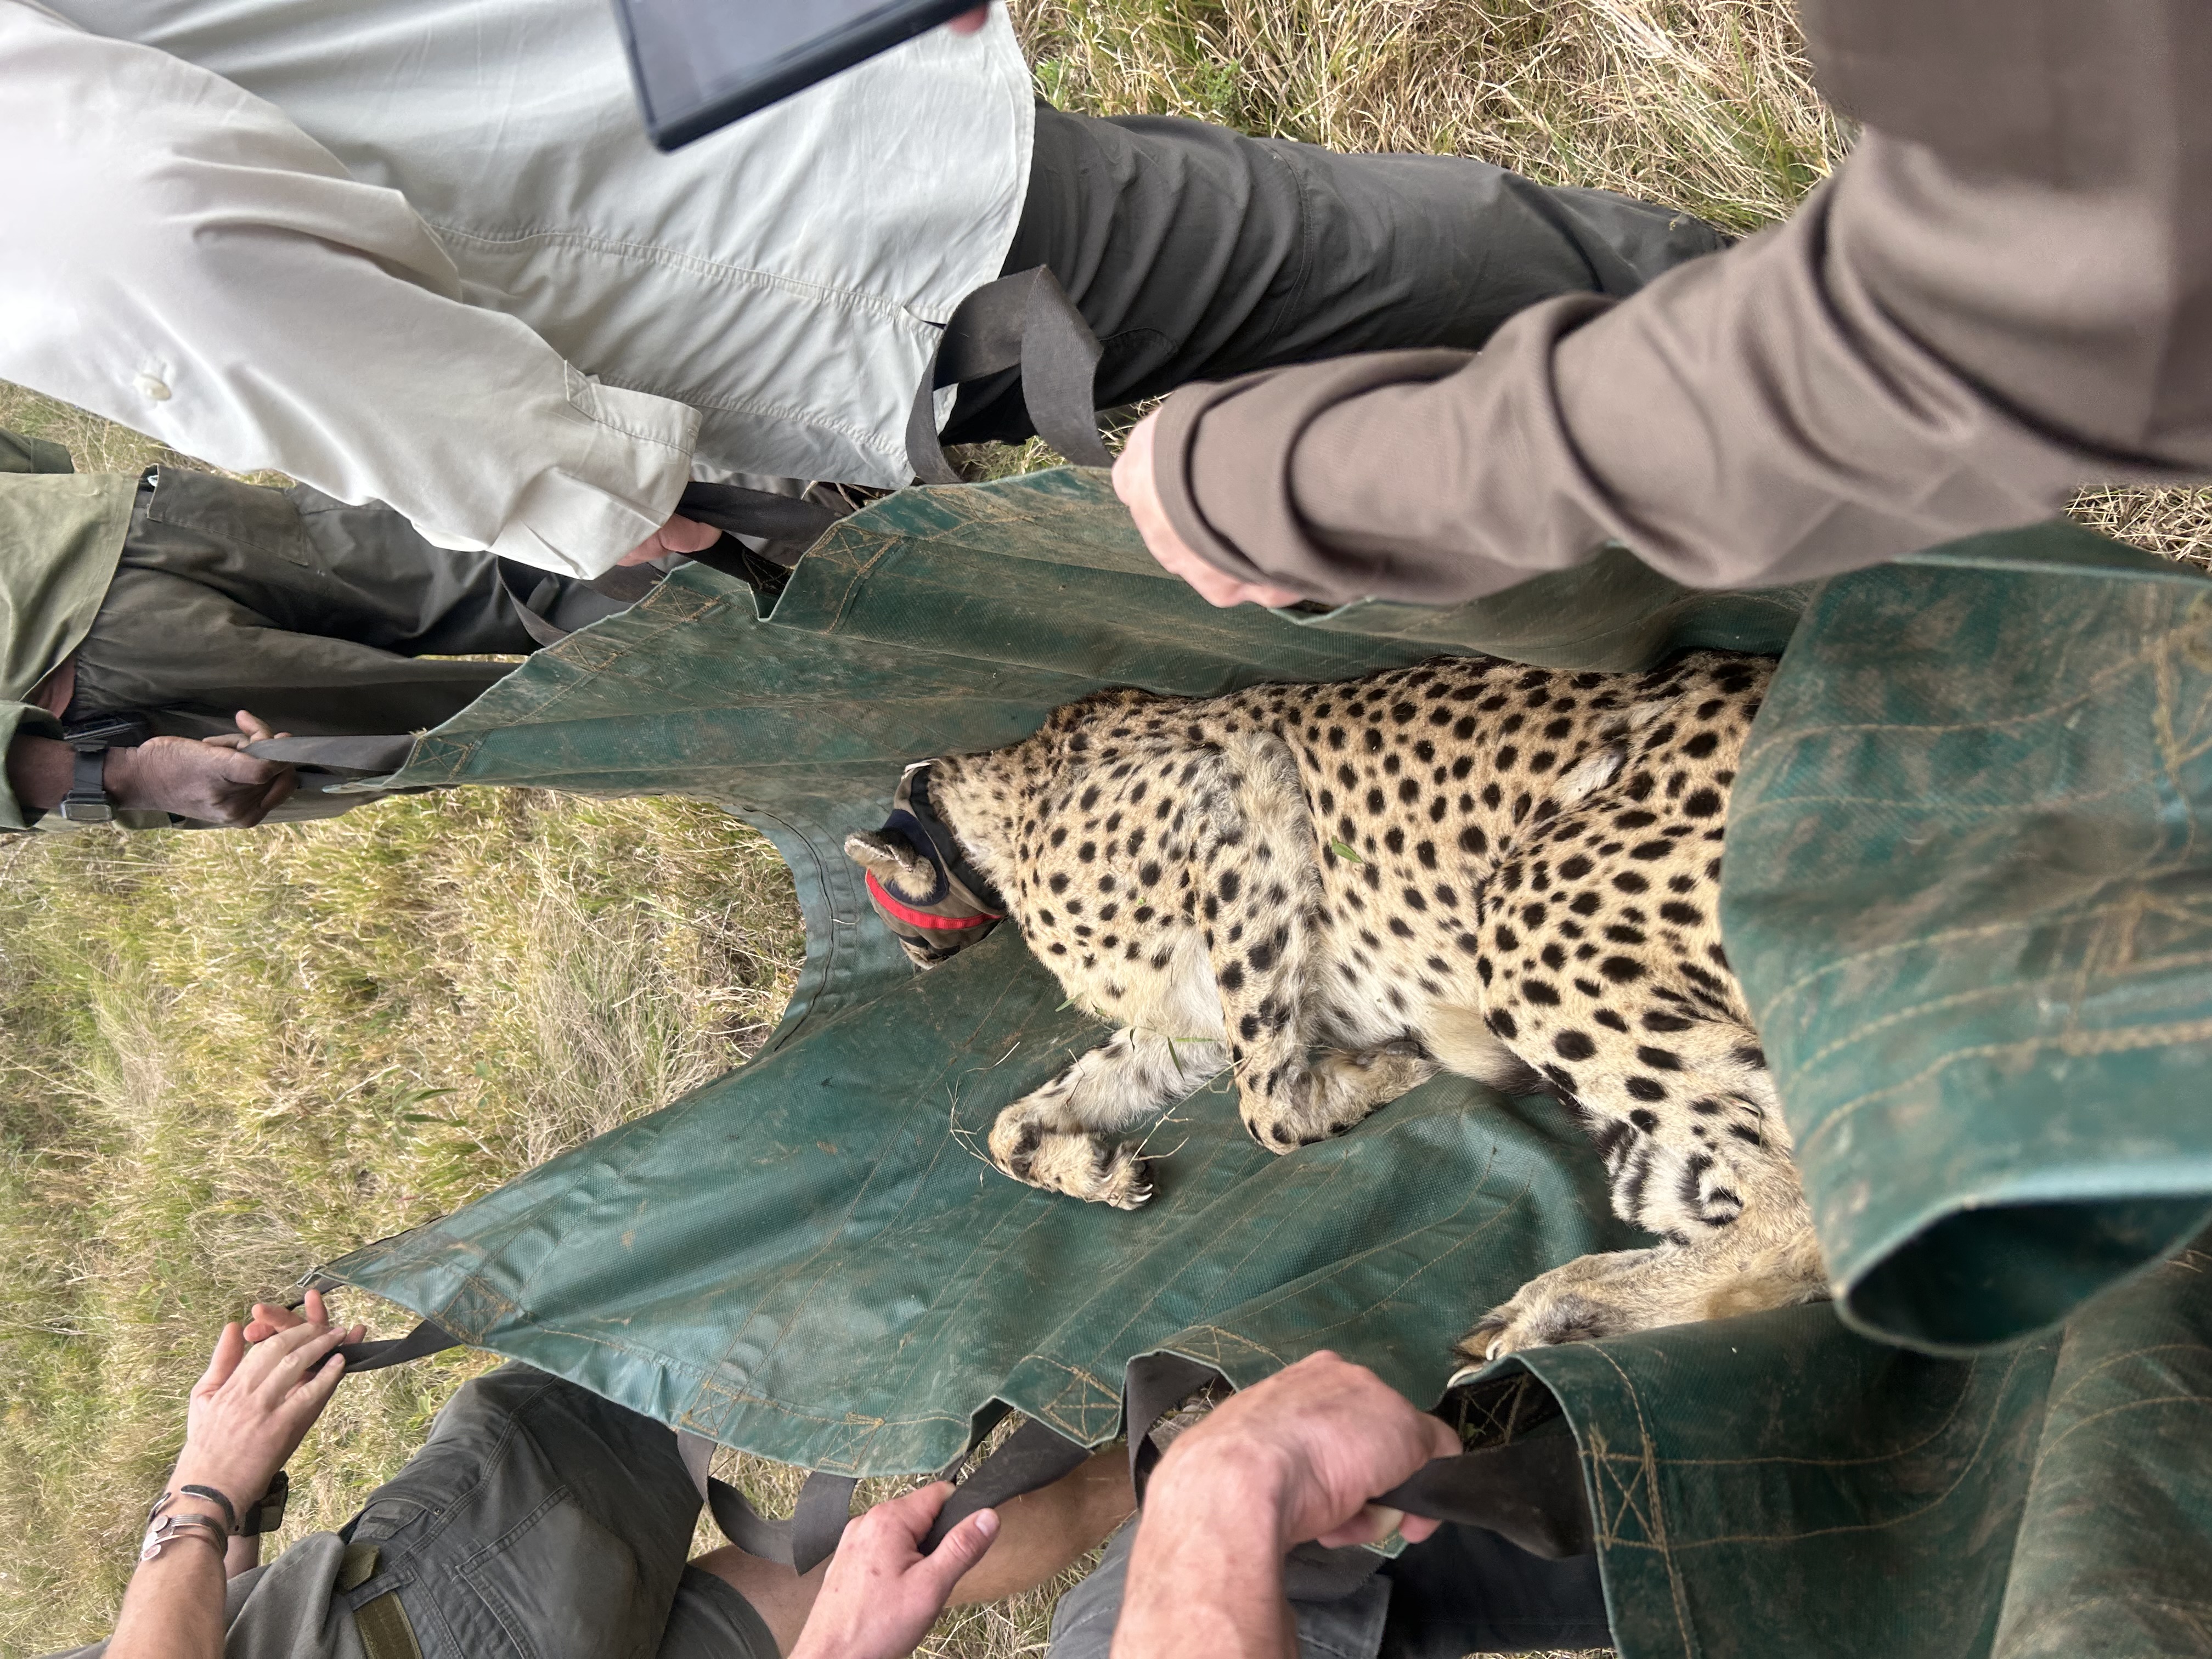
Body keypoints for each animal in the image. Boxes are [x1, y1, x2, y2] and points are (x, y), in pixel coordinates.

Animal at [845, 651, 1828, 1361]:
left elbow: (1264, 1106)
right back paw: (1569, 1316)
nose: (910, 961)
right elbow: (1016, 1123)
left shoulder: (1233, 800)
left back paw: (1556, 1300)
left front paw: (1380, 1073)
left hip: (1532, 917)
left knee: (1800, 1216)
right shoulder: (1187, 1021)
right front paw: (1093, 1168)